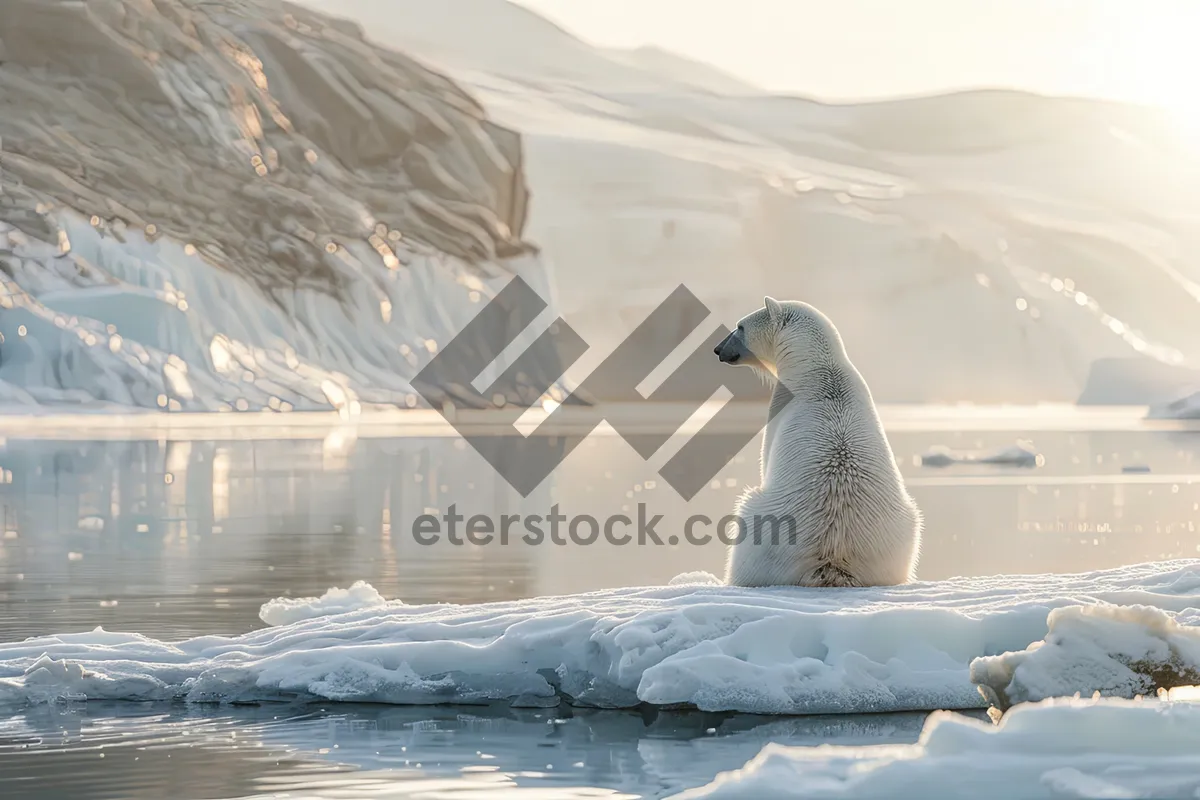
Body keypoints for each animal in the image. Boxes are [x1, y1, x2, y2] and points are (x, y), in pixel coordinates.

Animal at [705, 297, 921, 585]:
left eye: (740, 327)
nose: (718, 349)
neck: (819, 367)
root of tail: (831, 558)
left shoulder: (781, 405)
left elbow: (766, 456)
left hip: (762, 528)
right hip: (897, 538)